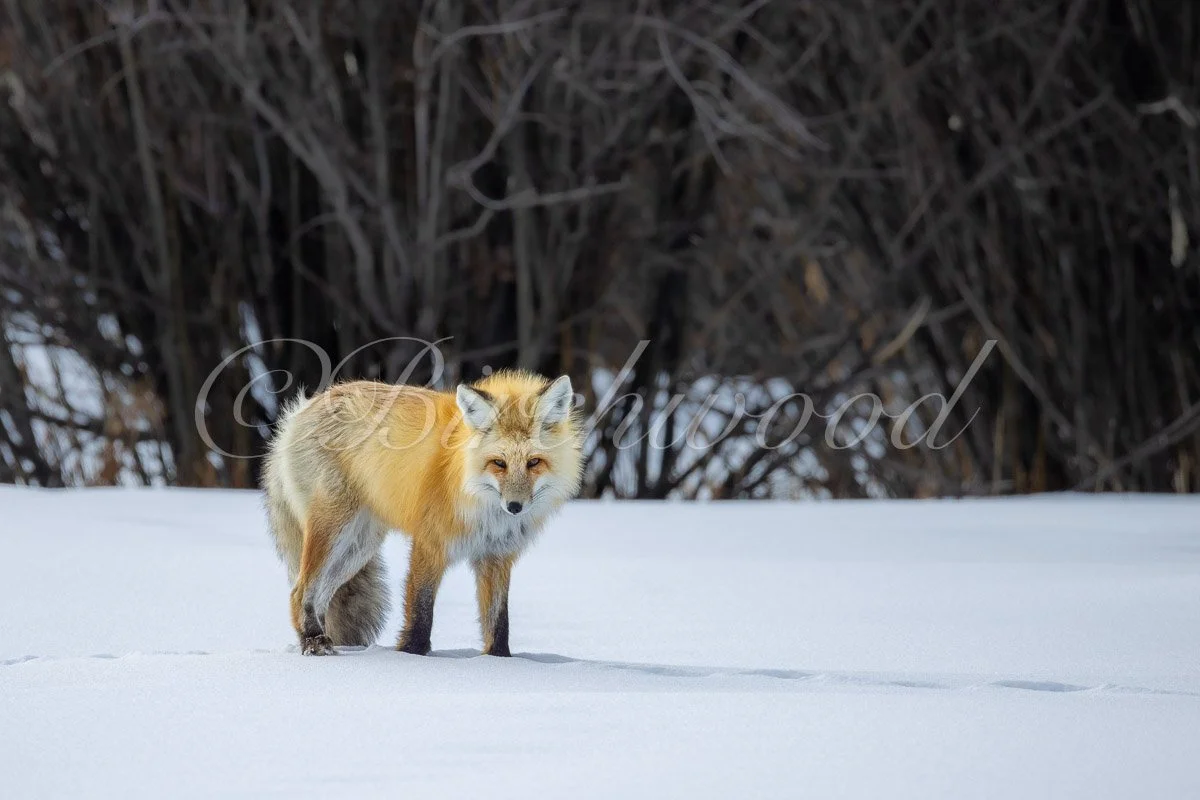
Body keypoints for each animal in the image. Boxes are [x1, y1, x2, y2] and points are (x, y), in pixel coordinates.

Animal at [261, 369, 583, 657]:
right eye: (499, 463)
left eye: (534, 462)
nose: (515, 507)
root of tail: (299, 411)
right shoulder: (430, 543)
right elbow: (420, 612)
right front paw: (413, 658)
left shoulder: (495, 556)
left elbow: (498, 623)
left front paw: (498, 661)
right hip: (334, 530)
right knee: (300, 591)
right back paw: (313, 641)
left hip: (358, 546)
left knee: (320, 595)